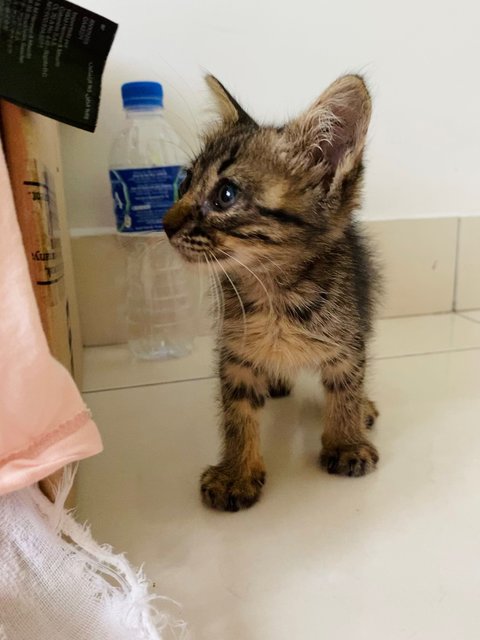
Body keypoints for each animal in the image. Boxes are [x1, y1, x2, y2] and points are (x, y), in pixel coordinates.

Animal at [163, 75, 380, 512]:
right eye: (185, 182)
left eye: (226, 194)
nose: (165, 225)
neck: (274, 292)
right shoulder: (235, 352)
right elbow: (237, 413)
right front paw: (236, 473)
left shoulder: (349, 338)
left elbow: (347, 387)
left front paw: (347, 442)